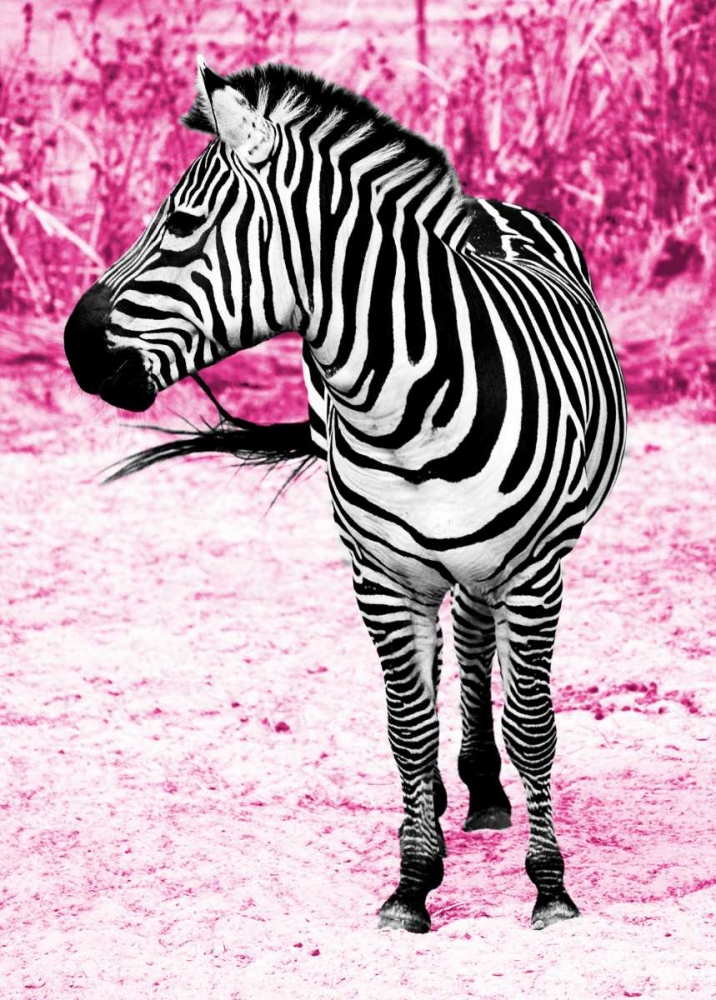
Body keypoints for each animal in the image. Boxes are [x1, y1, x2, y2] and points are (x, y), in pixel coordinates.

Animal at [64, 59, 627, 935]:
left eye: (183, 225)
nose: (73, 348)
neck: (409, 401)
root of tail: (486, 206)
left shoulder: (534, 571)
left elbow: (534, 727)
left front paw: (550, 885)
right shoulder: (380, 576)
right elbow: (406, 726)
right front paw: (413, 878)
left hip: (498, 563)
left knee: (475, 642)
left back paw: (485, 788)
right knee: (450, 650)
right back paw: (449, 796)